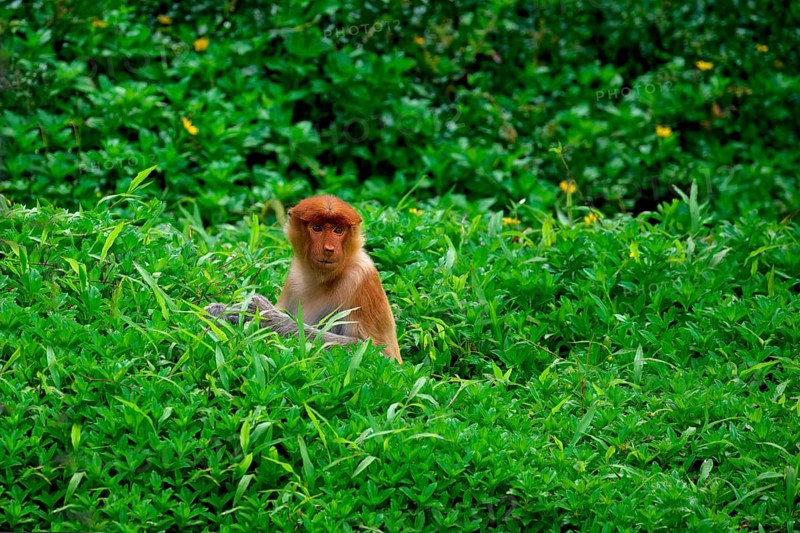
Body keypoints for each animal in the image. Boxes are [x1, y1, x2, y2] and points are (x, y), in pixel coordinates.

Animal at [205, 195, 403, 363]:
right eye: (317, 228)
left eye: (338, 230)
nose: (328, 249)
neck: (324, 279)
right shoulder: (294, 276)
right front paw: (218, 310)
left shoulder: (362, 278)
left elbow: (381, 356)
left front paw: (265, 315)